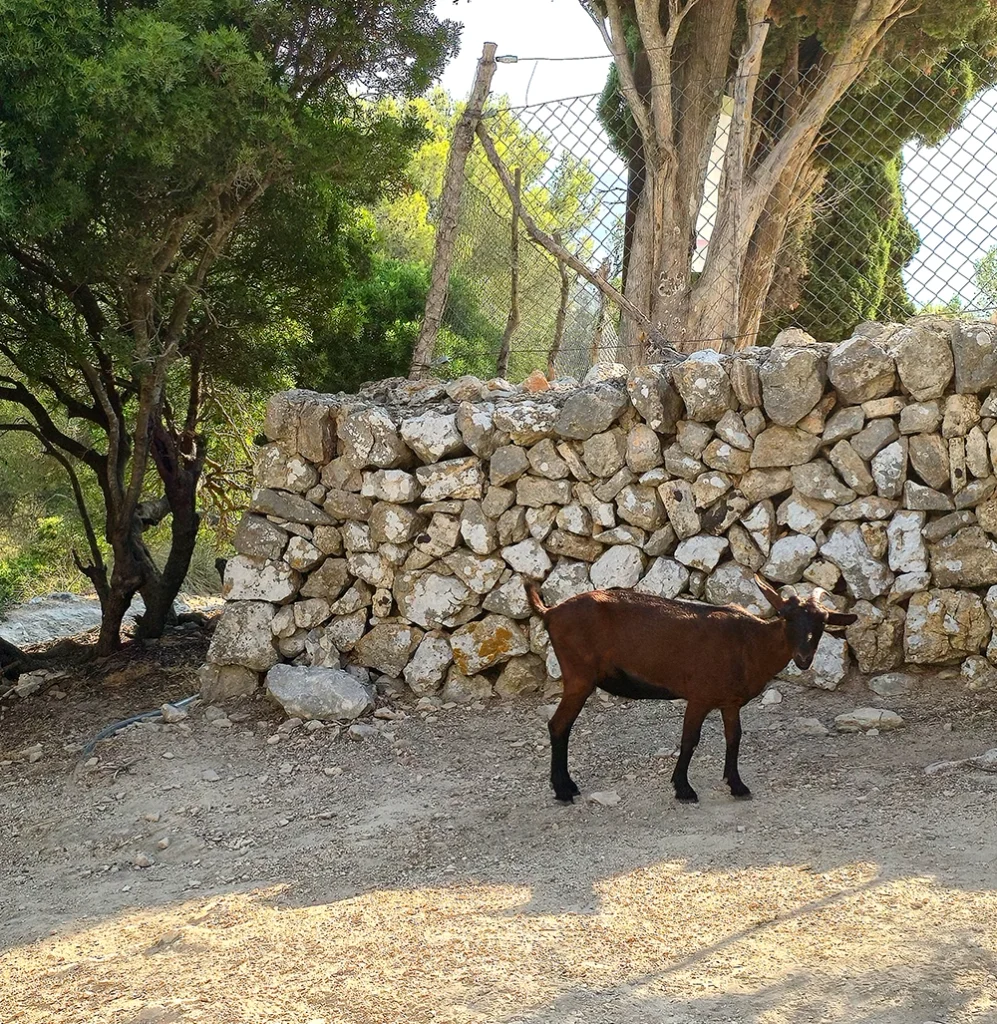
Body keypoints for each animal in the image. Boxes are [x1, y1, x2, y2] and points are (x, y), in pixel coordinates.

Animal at [526, 577, 856, 804]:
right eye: (787, 617)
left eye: (823, 622)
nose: (803, 659)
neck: (750, 642)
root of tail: (551, 612)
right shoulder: (699, 696)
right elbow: (689, 741)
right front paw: (684, 789)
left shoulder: (730, 702)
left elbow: (734, 739)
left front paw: (737, 785)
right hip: (578, 676)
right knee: (558, 725)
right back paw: (563, 790)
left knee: (561, 726)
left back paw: (566, 786)